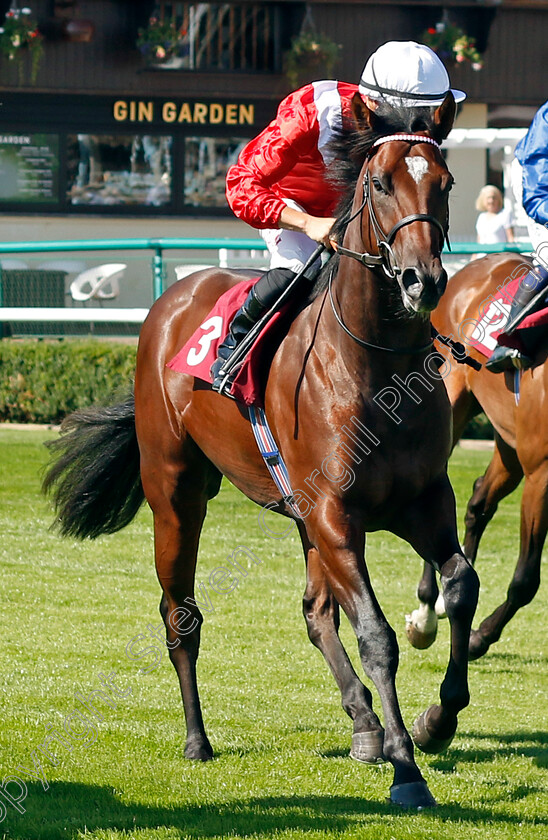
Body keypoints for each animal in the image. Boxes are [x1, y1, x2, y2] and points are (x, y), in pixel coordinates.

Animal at [44, 95, 480, 812]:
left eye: (444, 182)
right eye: (381, 182)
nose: (423, 281)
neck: (373, 363)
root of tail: (171, 302)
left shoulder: (419, 502)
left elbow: (461, 588)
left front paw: (436, 719)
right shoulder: (336, 515)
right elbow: (377, 635)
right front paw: (406, 769)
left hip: (300, 517)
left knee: (314, 613)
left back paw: (362, 725)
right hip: (177, 495)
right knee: (181, 614)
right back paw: (198, 740)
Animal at [404, 253, 544, 660]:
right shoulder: (541, 473)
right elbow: (526, 579)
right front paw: (479, 637)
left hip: (509, 442)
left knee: (479, 502)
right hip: (449, 405)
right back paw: (426, 612)